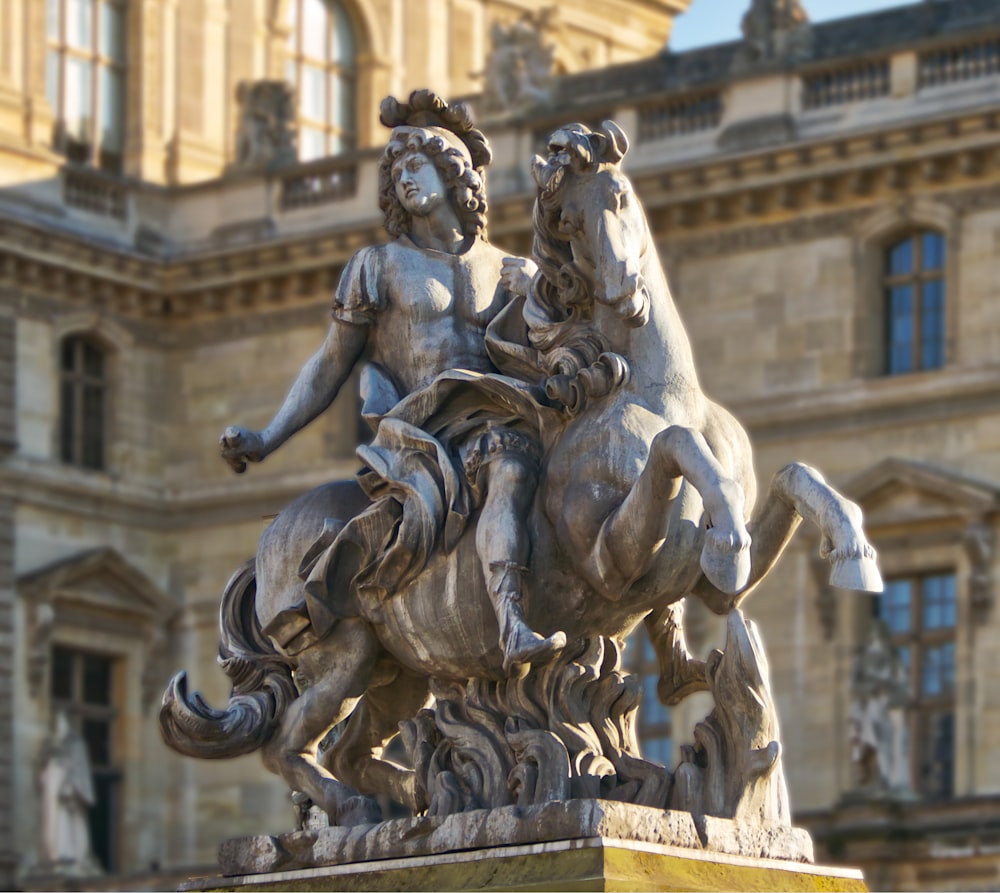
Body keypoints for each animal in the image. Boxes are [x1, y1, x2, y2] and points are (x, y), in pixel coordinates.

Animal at [162, 118, 884, 828]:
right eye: (564, 219)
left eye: (621, 195)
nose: (623, 291)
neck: (656, 390)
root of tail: (274, 531)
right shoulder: (610, 559)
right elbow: (677, 448)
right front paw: (731, 533)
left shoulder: (704, 584)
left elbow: (794, 474)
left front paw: (853, 550)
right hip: (343, 652)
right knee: (289, 745)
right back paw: (365, 798)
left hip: (398, 671)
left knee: (348, 746)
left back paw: (402, 797)